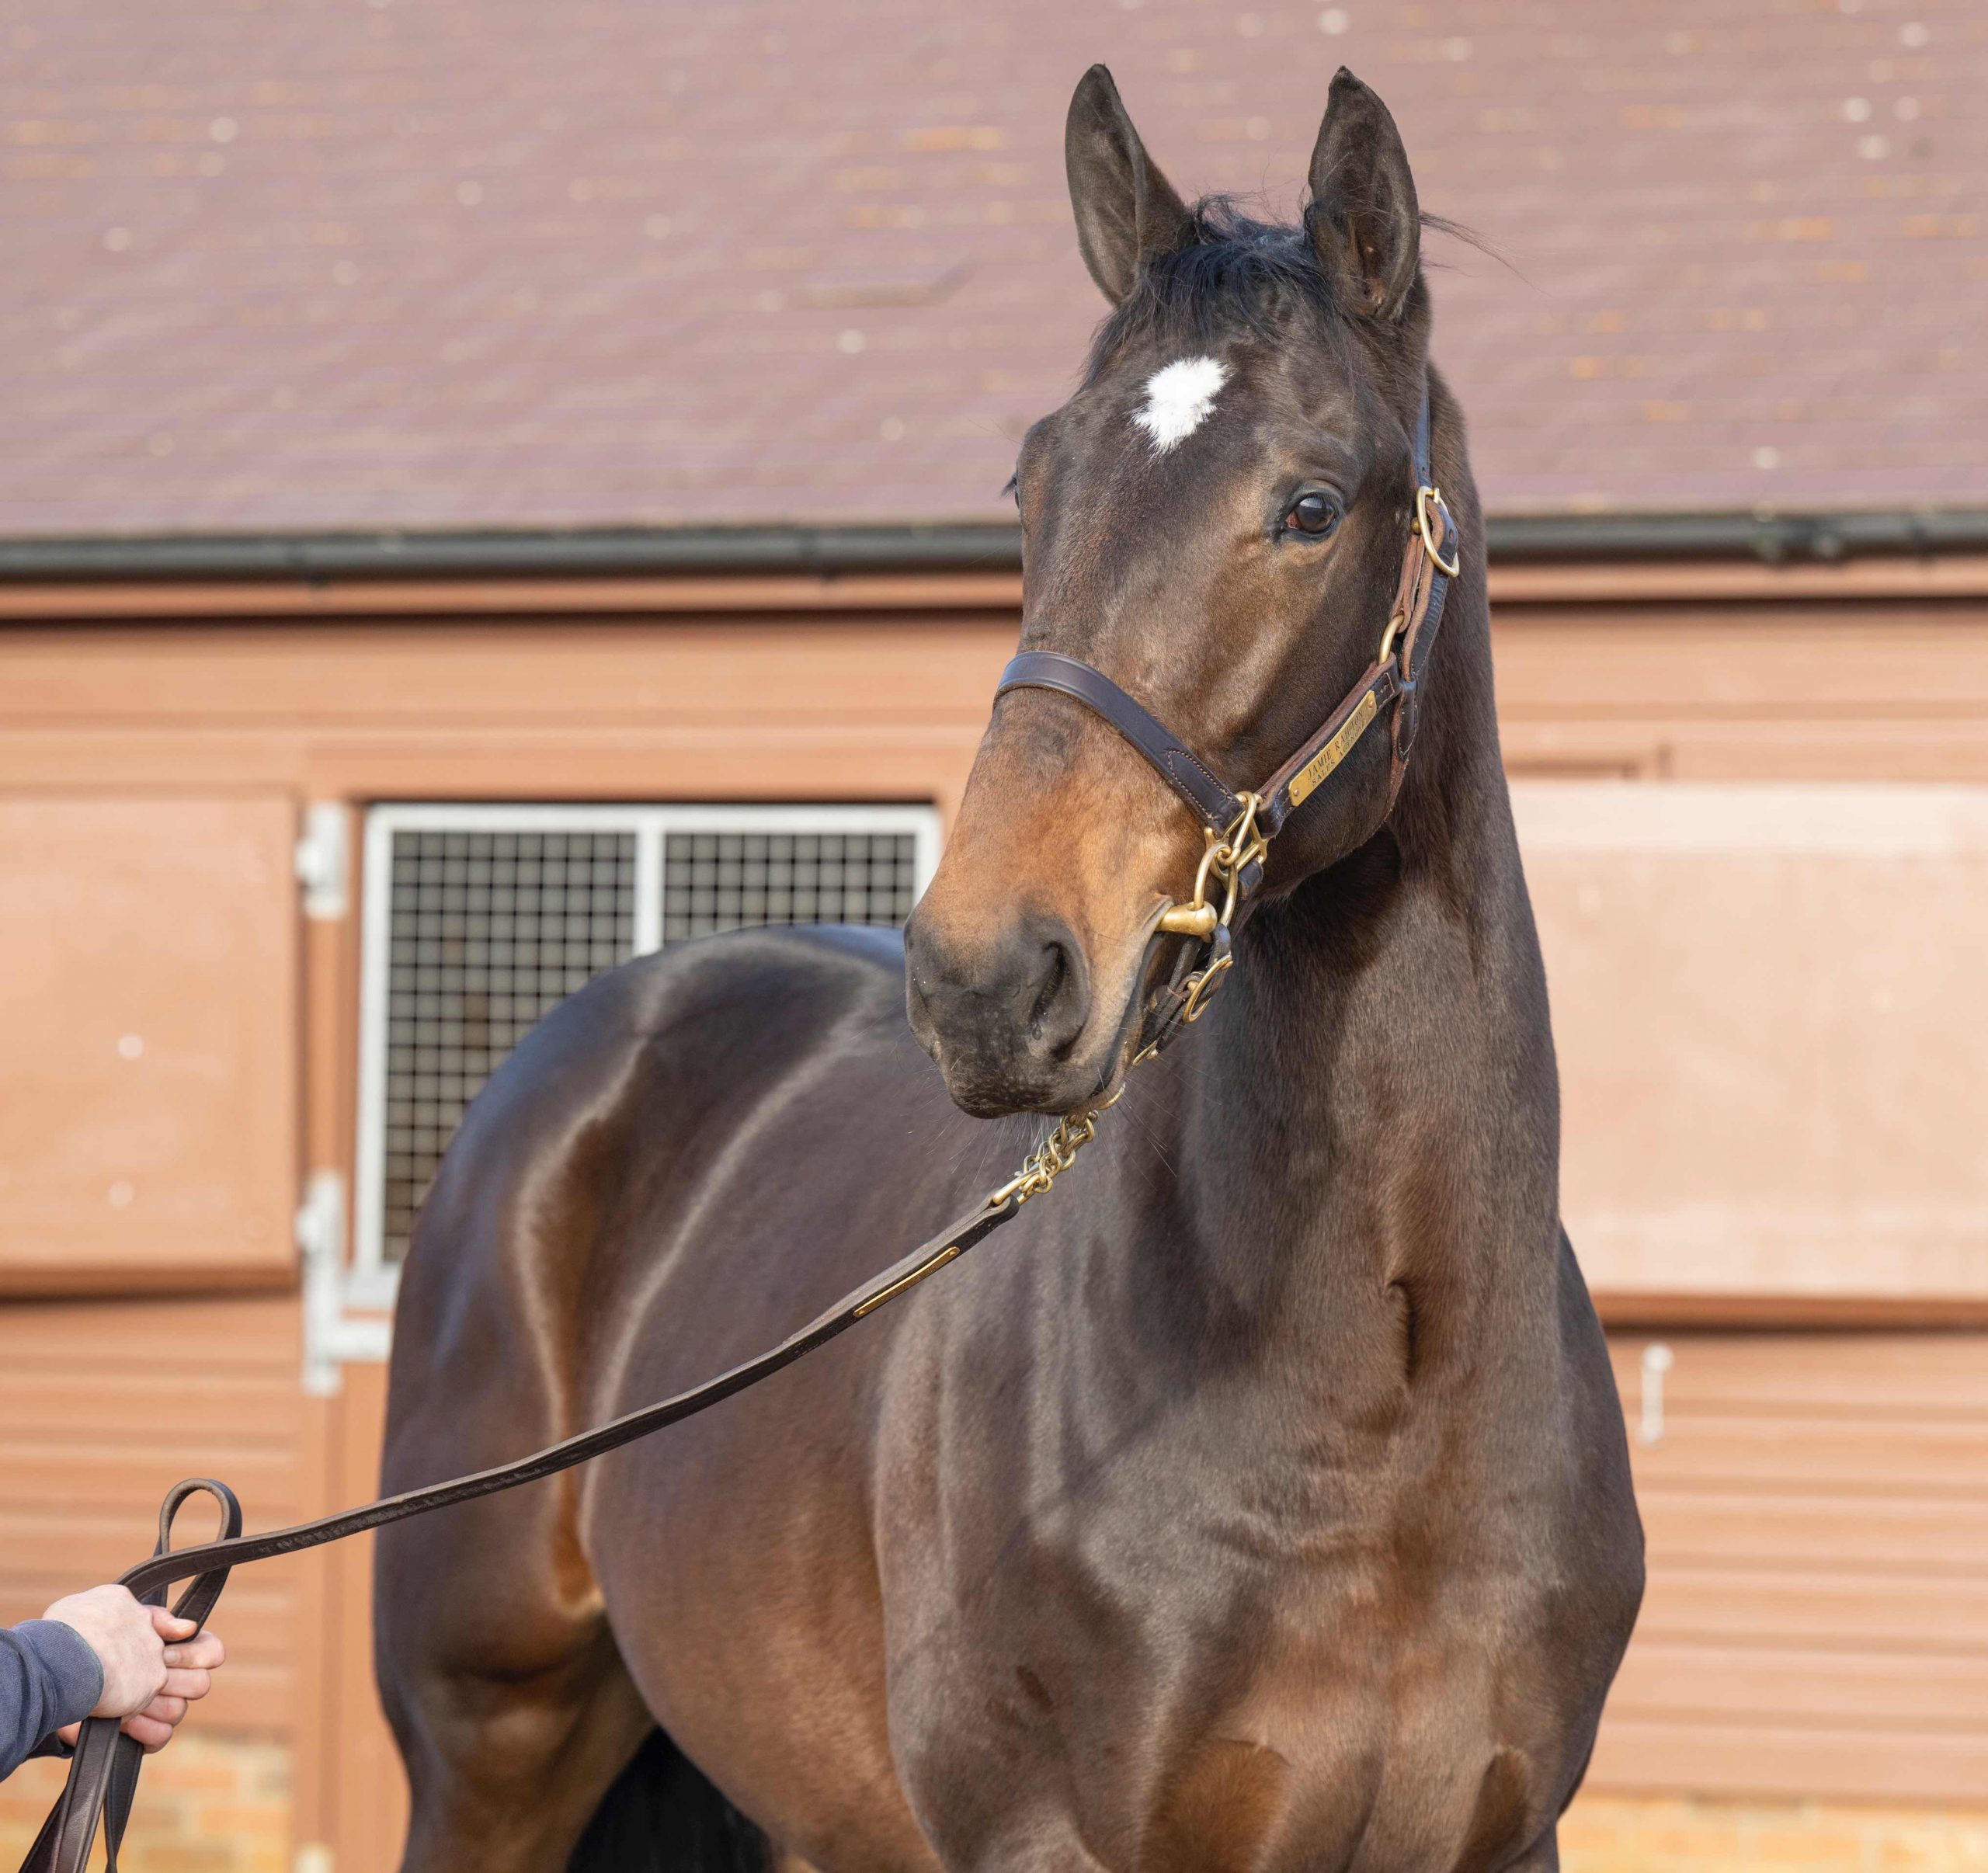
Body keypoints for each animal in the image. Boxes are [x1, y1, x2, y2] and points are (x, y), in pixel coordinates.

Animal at [375, 62, 1646, 1873]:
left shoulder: (1505, 1836)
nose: (986, 977)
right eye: (1030, 492)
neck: (1387, 1408)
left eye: (1310, 505)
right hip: (491, 1750)